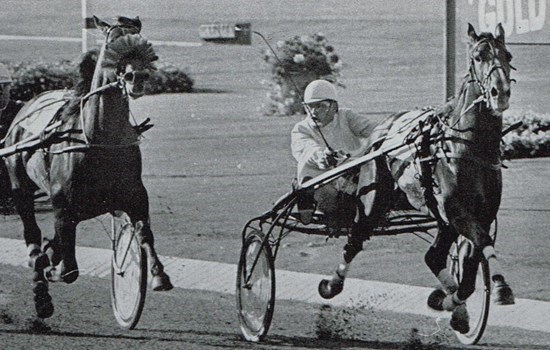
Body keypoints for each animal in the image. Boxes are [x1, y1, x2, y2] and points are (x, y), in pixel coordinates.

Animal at [2, 15, 174, 318]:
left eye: (143, 41)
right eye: (112, 42)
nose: (137, 76)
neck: (99, 139)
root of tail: (27, 105)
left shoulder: (134, 195)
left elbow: (144, 231)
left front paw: (158, 275)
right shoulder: (62, 206)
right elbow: (68, 269)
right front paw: (51, 271)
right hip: (19, 185)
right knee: (32, 238)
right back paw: (41, 292)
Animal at [320, 23, 516, 332]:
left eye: (507, 55)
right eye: (478, 56)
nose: (500, 93)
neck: (467, 146)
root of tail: (381, 131)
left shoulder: (480, 214)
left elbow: (470, 272)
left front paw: (451, 303)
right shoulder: (459, 213)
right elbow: (483, 243)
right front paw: (499, 286)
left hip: (440, 218)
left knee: (433, 256)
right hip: (372, 203)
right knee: (354, 241)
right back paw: (332, 285)